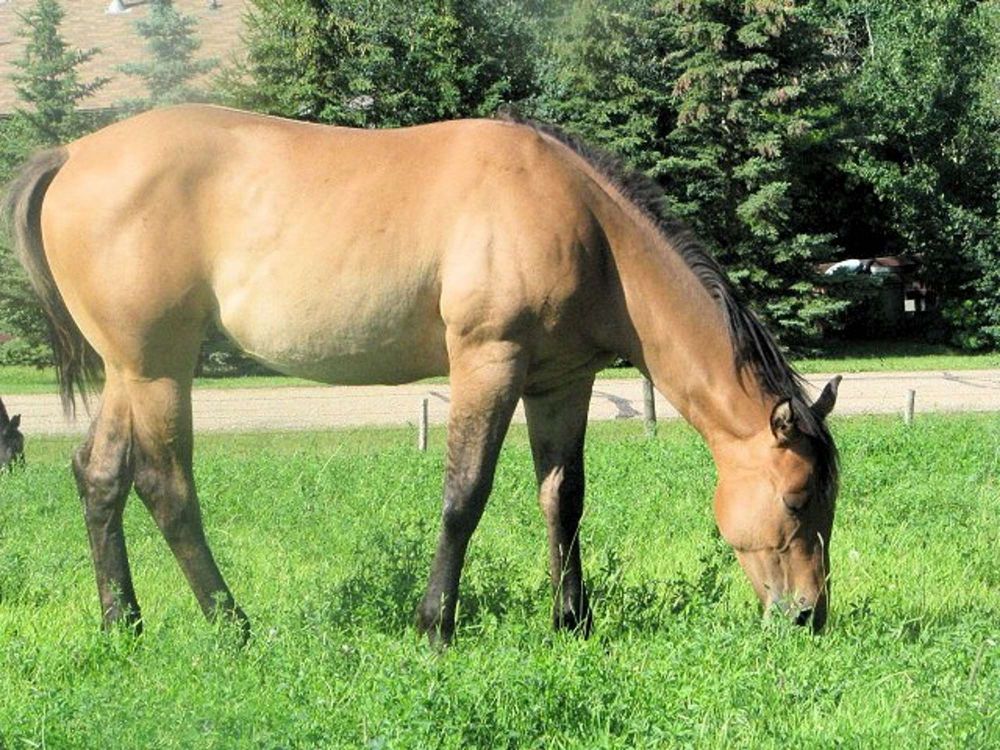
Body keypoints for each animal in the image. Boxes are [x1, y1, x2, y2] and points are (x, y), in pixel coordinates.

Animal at [3, 106, 840, 644]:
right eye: (798, 499)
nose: (809, 617)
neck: (583, 224)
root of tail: (72, 155)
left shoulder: (559, 382)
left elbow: (563, 500)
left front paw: (573, 624)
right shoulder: (487, 361)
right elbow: (464, 495)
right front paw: (435, 624)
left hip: (128, 370)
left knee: (99, 475)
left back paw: (123, 625)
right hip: (159, 370)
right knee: (165, 486)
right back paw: (232, 625)